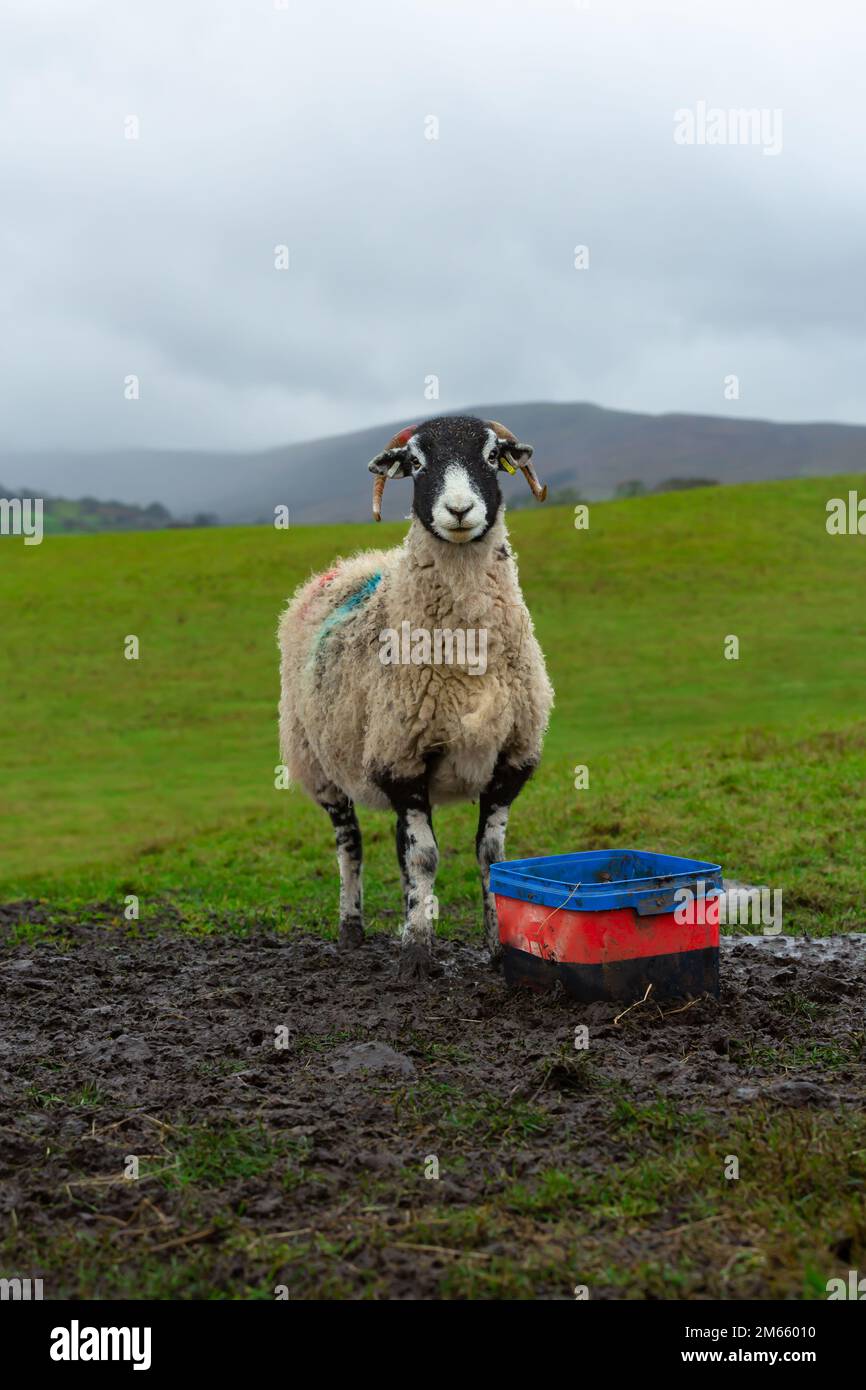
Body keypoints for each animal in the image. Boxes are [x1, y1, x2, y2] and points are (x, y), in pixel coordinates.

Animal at [280, 411, 558, 978]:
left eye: (492, 455)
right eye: (416, 462)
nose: (459, 509)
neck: (469, 654)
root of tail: (355, 562)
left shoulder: (513, 758)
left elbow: (490, 857)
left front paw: (497, 950)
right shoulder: (400, 759)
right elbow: (424, 857)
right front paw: (417, 954)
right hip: (319, 763)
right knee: (351, 846)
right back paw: (352, 930)